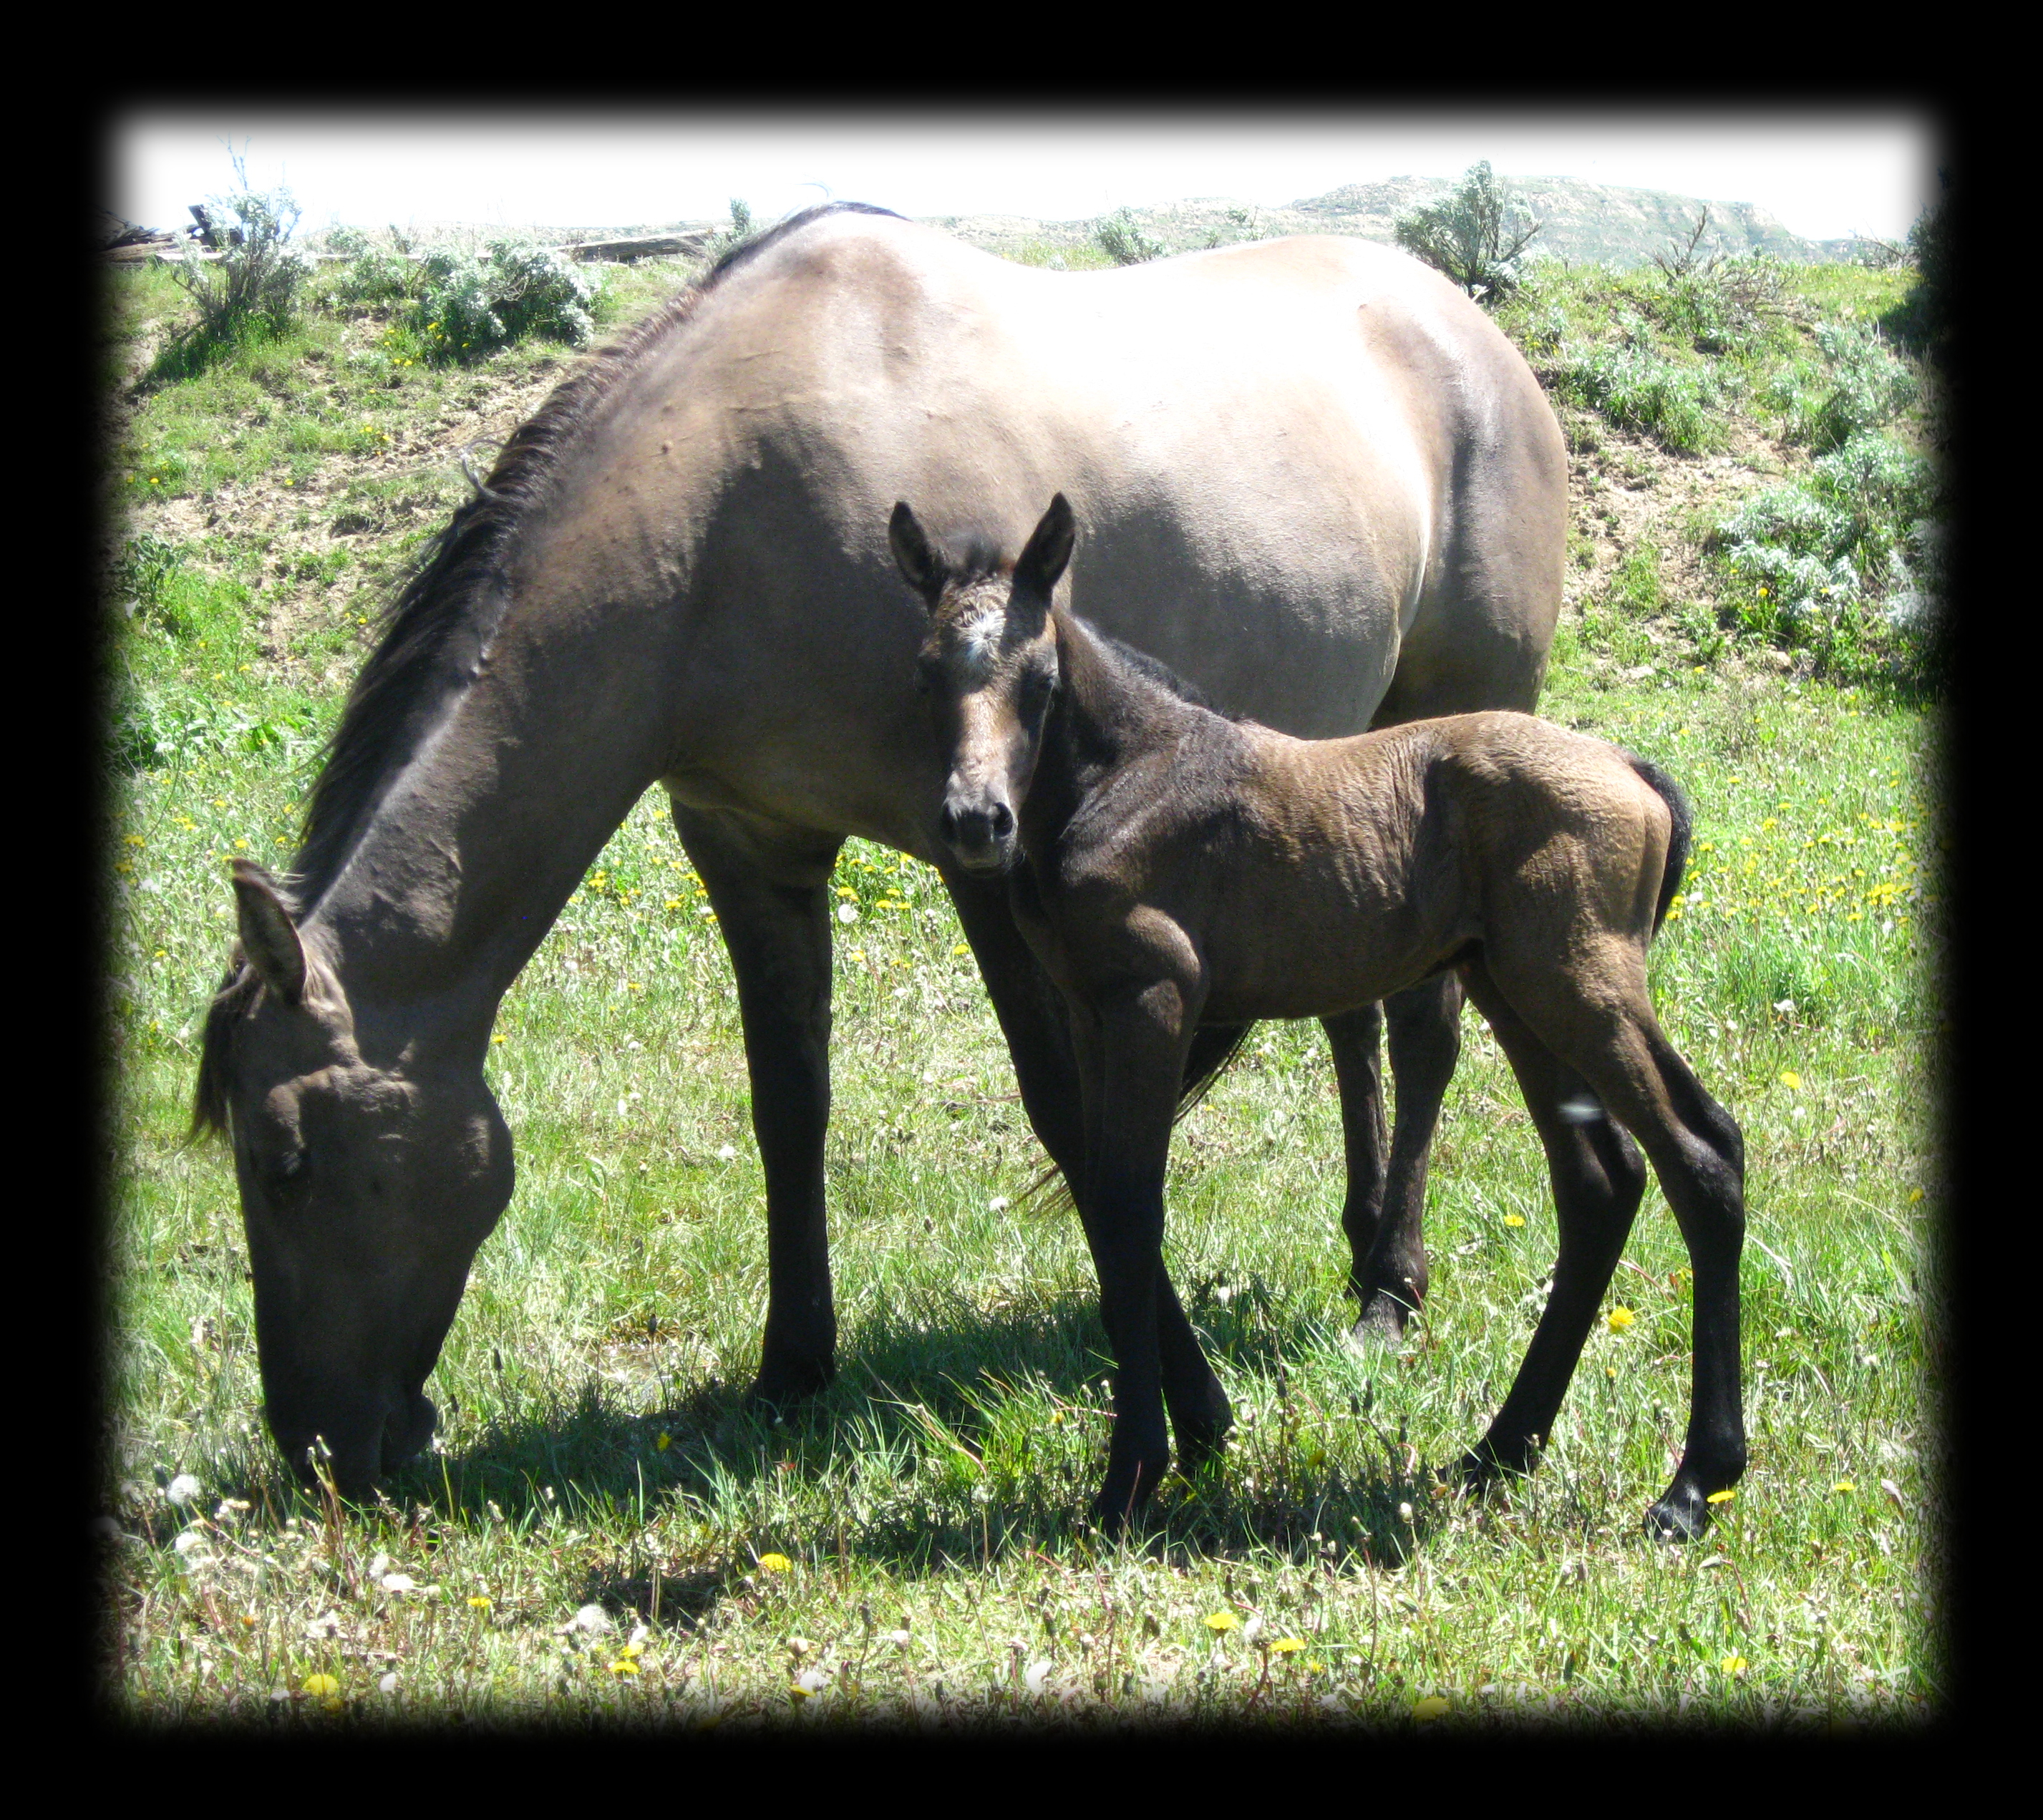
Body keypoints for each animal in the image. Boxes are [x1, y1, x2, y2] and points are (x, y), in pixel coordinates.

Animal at [190, 203, 1567, 1498]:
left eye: (286, 1159)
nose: (318, 1446)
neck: (724, 511)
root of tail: (1468, 326)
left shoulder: (982, 858)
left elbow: (1067, 1112)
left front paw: (1189, 1403)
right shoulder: (747, 845)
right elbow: (788, 1102)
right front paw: (792, 1365)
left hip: (1446, 720)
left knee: (1424, 1027)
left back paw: (1390, 1285)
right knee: (1353, 1014)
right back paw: (1359, 1241)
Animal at [894, 493, 1746, 1541]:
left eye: (1038, 676)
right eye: (926, 672)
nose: (976, 821)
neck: (1121, 776)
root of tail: (1633, 768)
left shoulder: (1153, 998)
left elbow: (1132, 1207)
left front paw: (1134, 1471)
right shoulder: (1093, 1014)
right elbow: (1102, 1197)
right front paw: (1181, 1441)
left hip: (1581, 984)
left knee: (1702, 1154)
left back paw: (1694, 1481)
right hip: (1517, 991)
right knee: (1600, 1181)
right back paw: (1500, 1447)